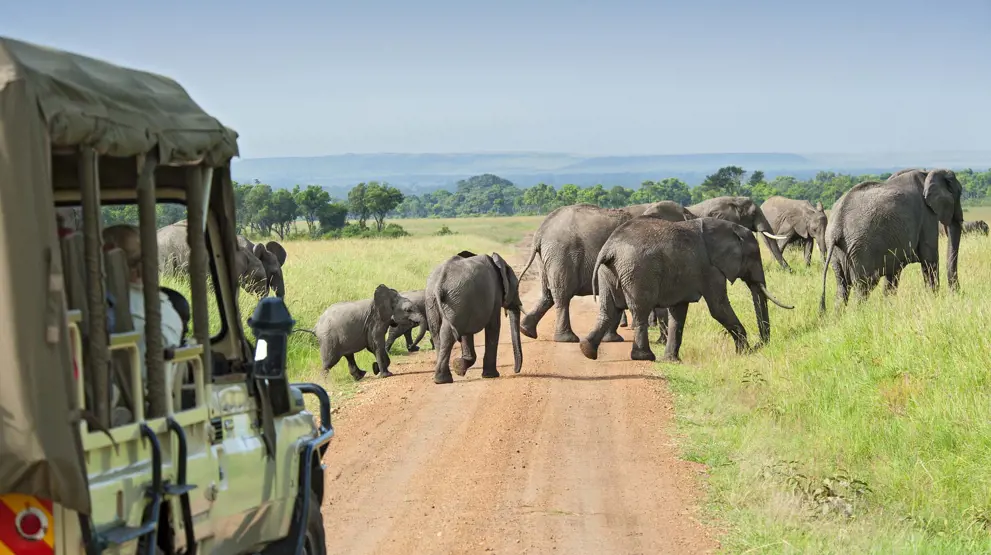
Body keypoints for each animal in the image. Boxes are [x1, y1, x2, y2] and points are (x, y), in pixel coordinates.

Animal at [430, 250, 532, 384]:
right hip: (456, 299)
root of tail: (439, 282)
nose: (516, 371)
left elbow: (467, 333)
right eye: (517, 287)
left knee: (437, 333)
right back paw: (443, 380)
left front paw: (459, 367)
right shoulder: (494, 295)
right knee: (447, 334)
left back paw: (441, 379)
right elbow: (494, 326)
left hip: (440, 300)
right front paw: (491, 375)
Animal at [576, 217, 796, 364]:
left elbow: (678, 312)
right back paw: (644, 357)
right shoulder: (711, 269)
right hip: (638, 272)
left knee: (608, 309)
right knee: (640, 310)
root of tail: (609, 249)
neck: (728, 229)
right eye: (754, 256)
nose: (760, 345)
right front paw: (744, 353)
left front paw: (672, 361)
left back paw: (587, 350)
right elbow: (718, 308)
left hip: (608, 272)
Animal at [816, 168, 964, 312]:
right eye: (959, 193)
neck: (927, 173)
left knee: (842, 287)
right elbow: (930, 259)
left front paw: (888, 307)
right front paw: (933, 300)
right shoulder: (927, 215)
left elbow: (893, 273)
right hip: (860, 250)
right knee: (864, 286)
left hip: (837, 251)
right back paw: (857, 314)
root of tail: (836, 227)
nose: (956, 293)